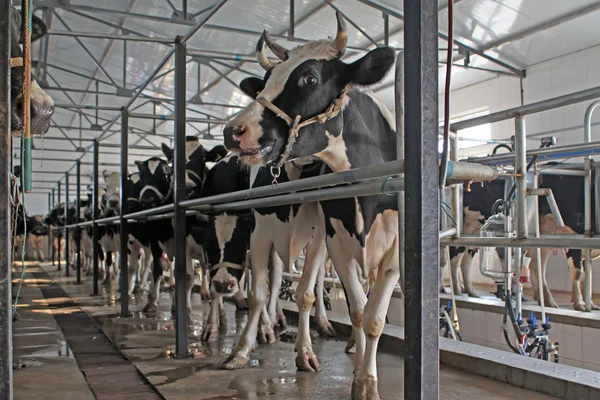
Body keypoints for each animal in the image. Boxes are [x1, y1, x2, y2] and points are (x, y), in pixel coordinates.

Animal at [223, 11, 396, 396]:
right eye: (265, 82)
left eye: (310, 78)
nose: (233, 131)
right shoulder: (275, 232)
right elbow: (260, 293)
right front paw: (240, 350)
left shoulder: (367, 246)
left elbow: (366, 314)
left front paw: (364, 380)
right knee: (273, 284)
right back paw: (268, 329)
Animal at [446, 169, 596, 312]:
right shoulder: (573, 235)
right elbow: (578, 273)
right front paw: (580, 304)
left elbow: (586, 275)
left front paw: (591, 304)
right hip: (463, 229)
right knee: (455, 259)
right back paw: (458, 291)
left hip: (476, 234)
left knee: (466, 261)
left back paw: (471, 292)